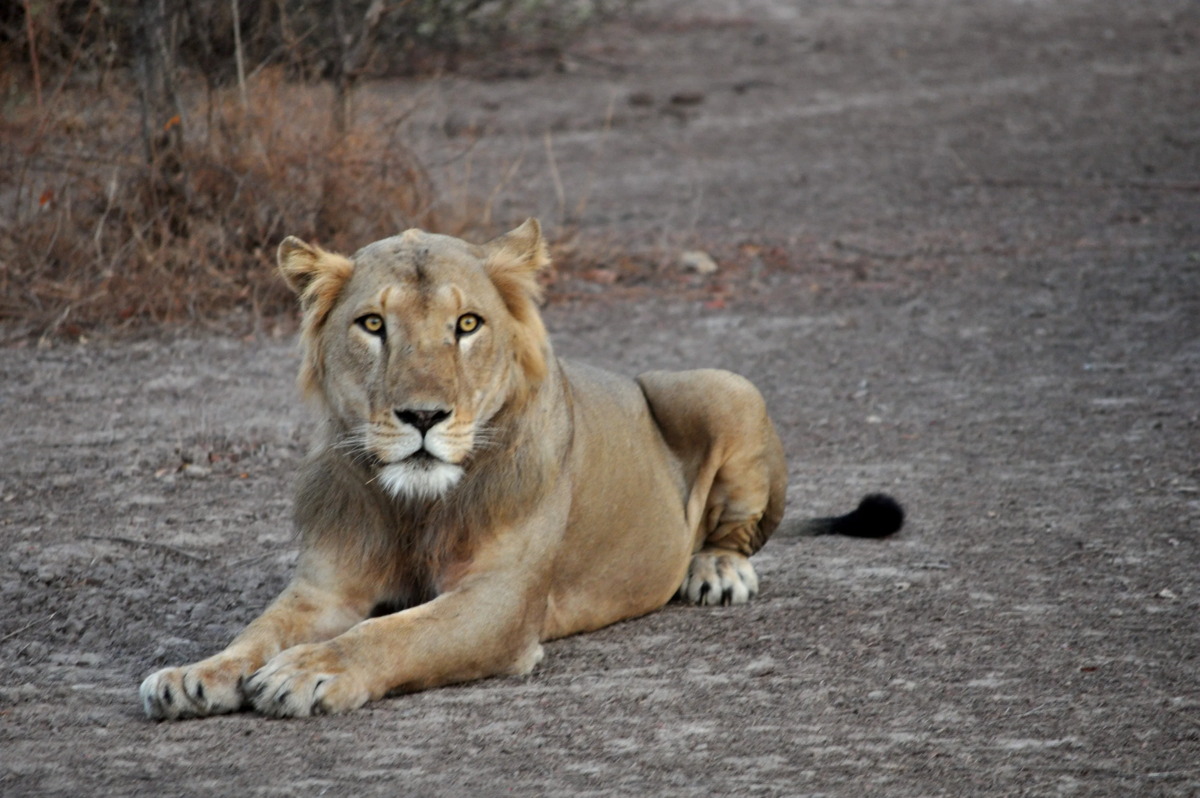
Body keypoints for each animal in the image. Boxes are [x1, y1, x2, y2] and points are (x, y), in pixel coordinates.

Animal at [138, 219, 902, 720]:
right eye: (373, 325)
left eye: (468, 325)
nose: (423, 416)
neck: (415, 505)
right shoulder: (323, 590)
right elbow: (257, 632)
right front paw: (193, 675)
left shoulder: (502, 602)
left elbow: (394, 632)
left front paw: (310, 671)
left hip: (723, 385)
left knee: (737, 530)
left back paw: (716, 570)